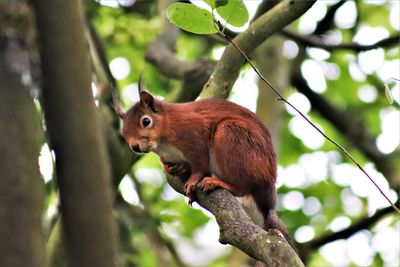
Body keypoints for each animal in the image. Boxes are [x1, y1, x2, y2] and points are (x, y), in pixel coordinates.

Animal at [112, 84, 290, 245]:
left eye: (146, 121)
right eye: (123, 131)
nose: (135, 146)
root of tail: (268, 182)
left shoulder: (195, 136)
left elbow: (200, 165)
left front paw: (192, 181)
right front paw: (172, 167)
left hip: (232, 137)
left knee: (242, 187)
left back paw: (216, 182)